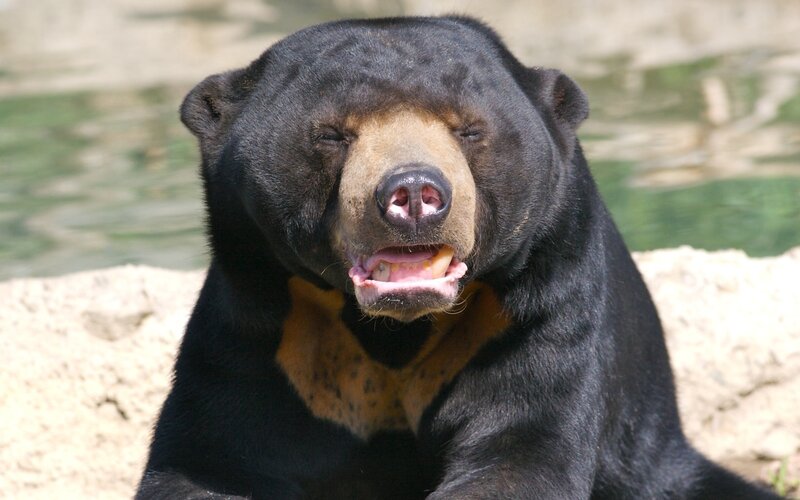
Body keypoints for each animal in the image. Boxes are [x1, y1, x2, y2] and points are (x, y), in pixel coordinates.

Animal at [137, 16, 781, 500]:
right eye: (333, 135)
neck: (395, 331)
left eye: (469, 130)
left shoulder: (534, 309)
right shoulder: (265, 326)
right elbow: (216, 456)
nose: (414, 193)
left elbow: (519, 445)